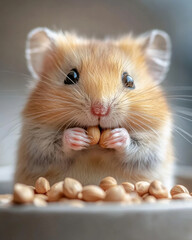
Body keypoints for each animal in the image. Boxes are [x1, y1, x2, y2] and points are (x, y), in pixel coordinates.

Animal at [14, 27, 173, 188]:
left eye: (129, 80)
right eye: (70, 76)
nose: (100, 110)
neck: (95, 149)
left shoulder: (153, 143)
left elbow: (136, 147)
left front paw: (116, 136)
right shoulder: (37, 140)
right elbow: (56, 144)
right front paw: (78, 136)